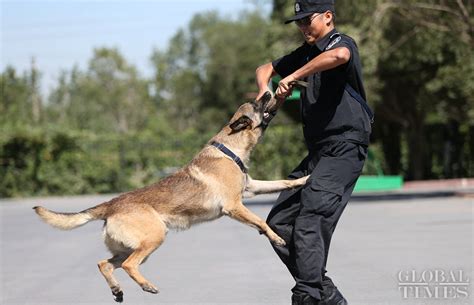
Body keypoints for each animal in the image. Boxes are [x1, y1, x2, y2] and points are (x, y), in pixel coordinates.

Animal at [33, 91, 308, 302]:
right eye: (256, 104)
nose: (269, 91)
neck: (230, 148)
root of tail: (111, 205)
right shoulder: (234, 206)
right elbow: (261, 221)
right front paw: (276, 238)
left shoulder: (251, 189)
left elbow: (282, 182)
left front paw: (304, 180)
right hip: (154, 238)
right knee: (128, 265)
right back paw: (147, 286)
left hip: (129, 248)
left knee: (105, 264)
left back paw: (117, 290)